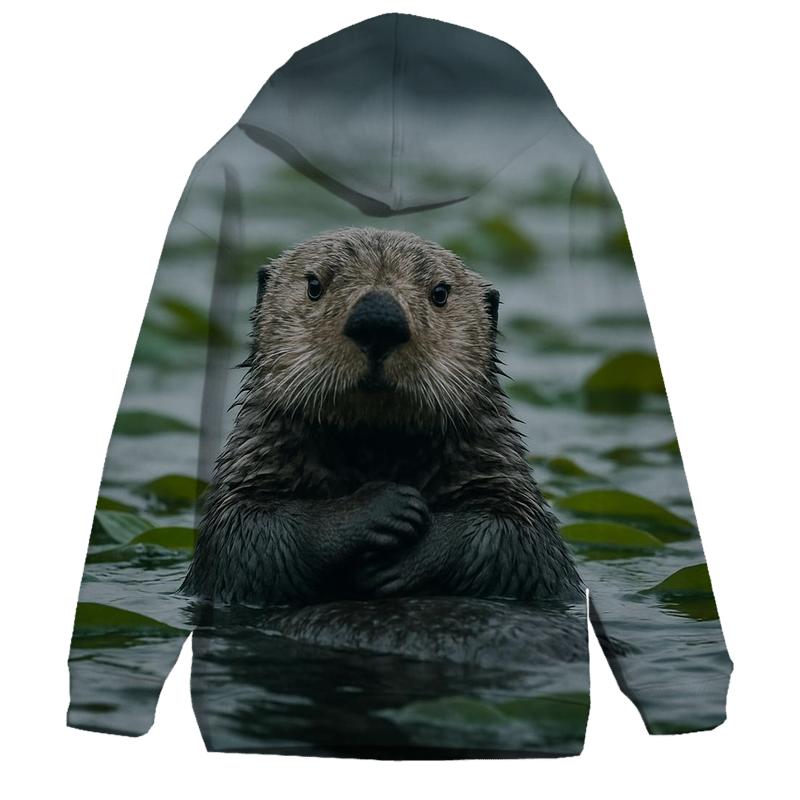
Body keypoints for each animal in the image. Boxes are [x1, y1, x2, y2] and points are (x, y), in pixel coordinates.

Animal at [179, 227, 583, 605]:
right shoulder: (251, 480)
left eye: (440, 293)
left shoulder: (502, 482)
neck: (375, 449)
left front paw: (411, 552)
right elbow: (250, 538)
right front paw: (380, 506)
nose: (378, 317)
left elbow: (513, 541)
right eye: (314, 285)